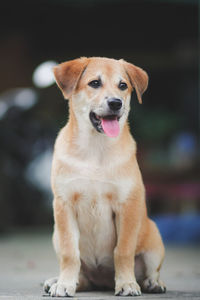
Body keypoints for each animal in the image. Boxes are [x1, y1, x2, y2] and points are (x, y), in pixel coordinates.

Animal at [43, 57, 166, 296]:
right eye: (94, 83)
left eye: (123, 85)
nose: (116, 103)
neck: (95, 149)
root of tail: (102, 281)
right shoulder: (64, 205)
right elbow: (70, 253)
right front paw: (64, 284)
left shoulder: (127, 205)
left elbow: (123, 251)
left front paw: (127, 283)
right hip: (55, 235)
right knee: (82, 274)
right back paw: (61, 281)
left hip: (154, 240)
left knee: (150, 270)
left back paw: (152, 283)